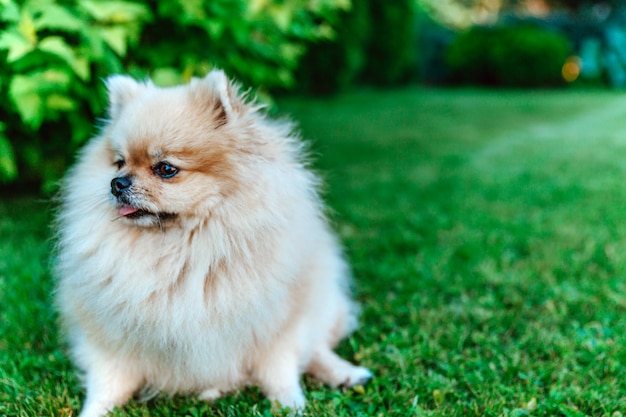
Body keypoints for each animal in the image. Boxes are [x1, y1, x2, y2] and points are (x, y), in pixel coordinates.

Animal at [53, 70, 370, 414]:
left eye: (166, 169)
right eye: (119, 163)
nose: (116, 183)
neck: (183, 248)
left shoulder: (279, 322)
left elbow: (281, 371)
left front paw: (291, 405)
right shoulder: (109, 336)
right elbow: (107, 384)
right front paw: (93, 411)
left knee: (317, 349)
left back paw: (347, 373)